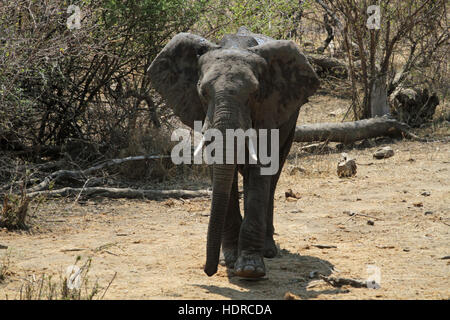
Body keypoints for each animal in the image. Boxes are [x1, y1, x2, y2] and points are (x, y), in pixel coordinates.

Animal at [149, 26, 320, 278]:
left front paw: (250, 270)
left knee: (273, 177)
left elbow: (260, 171)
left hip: (291, 119)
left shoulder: (269, 111)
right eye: (202, 93)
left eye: (255, 94)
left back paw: (268, 251)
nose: (208, 270)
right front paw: (228, 259)